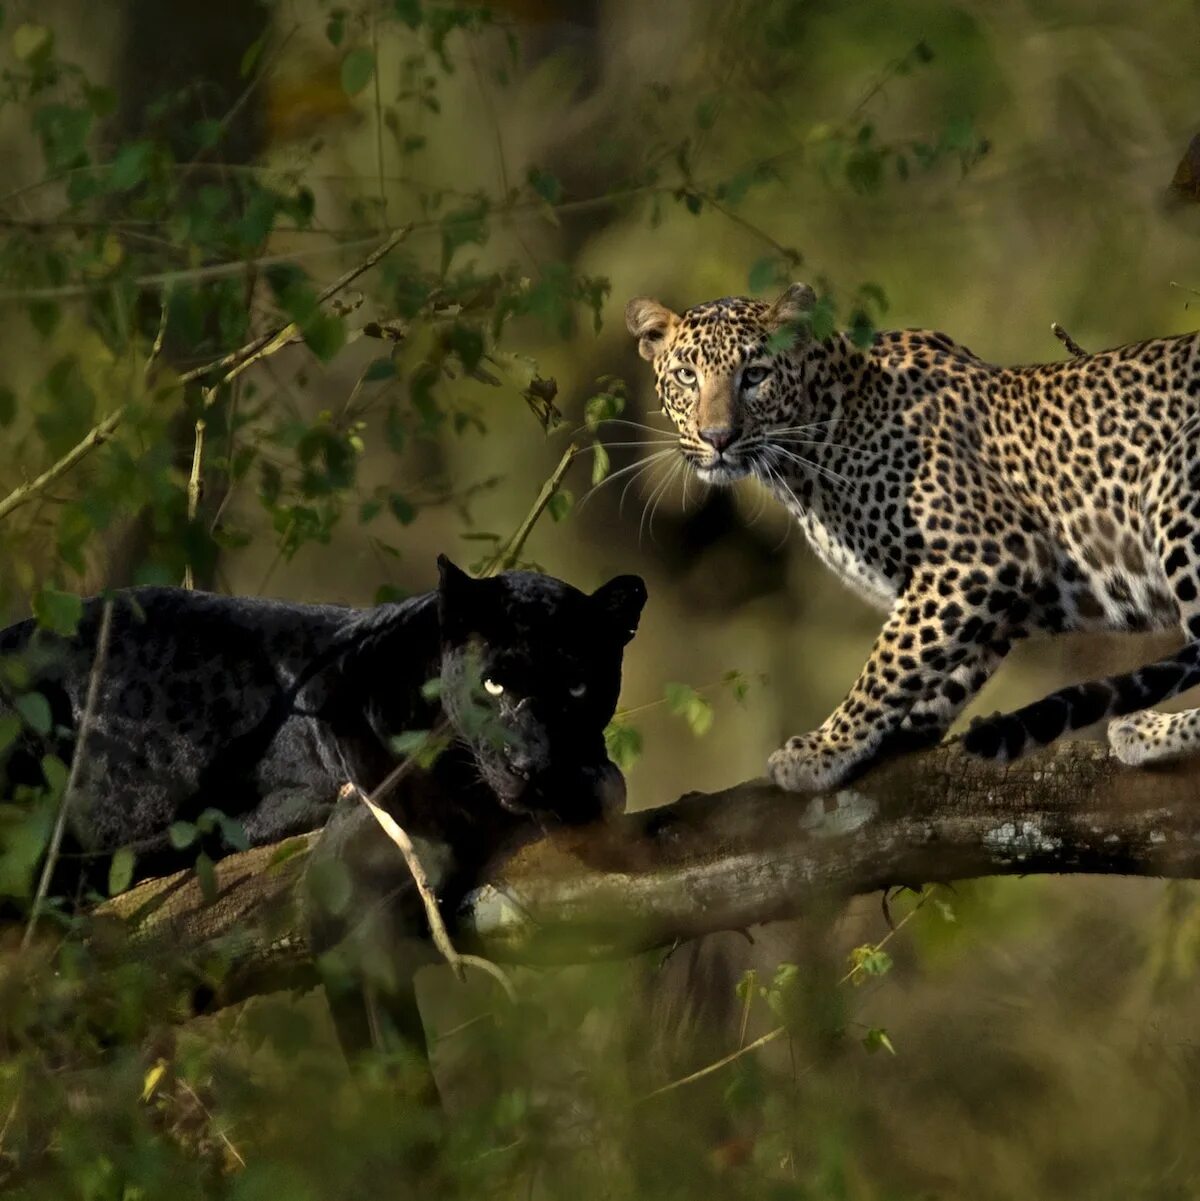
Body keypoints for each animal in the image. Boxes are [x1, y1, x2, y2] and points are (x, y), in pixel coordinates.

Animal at [624, 279, 1200, 787]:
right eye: (686, 376)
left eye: (755, 374)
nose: (717, 437)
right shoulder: (982, 591)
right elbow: (940, 661)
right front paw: (899, 732)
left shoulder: (986, 555)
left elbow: (890, 662)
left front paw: (825, 748)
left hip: (1176, 491)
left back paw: (1149, 730)